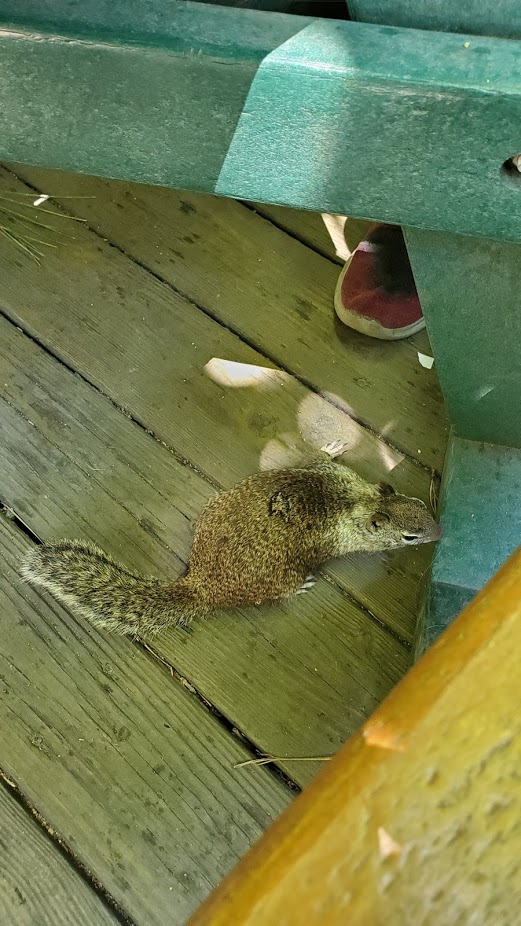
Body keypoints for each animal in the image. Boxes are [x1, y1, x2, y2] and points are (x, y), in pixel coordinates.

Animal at [21, 441, 440, 637]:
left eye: (422, 504)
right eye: (410, 536)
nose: (440, 531)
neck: (358, 501)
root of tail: (203, 584)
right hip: (277, 581)